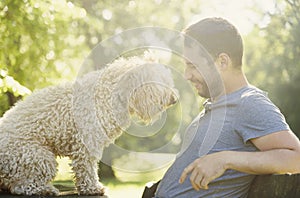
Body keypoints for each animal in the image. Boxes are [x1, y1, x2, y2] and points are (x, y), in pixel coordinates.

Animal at [0, 53, 178, 196]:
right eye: (161, 82)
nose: (174, 99)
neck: (109, 94)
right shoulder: (86, 145)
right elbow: (87, 169)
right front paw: (92, 188)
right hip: (40, 158)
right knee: (21, 187)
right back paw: (45, 189)